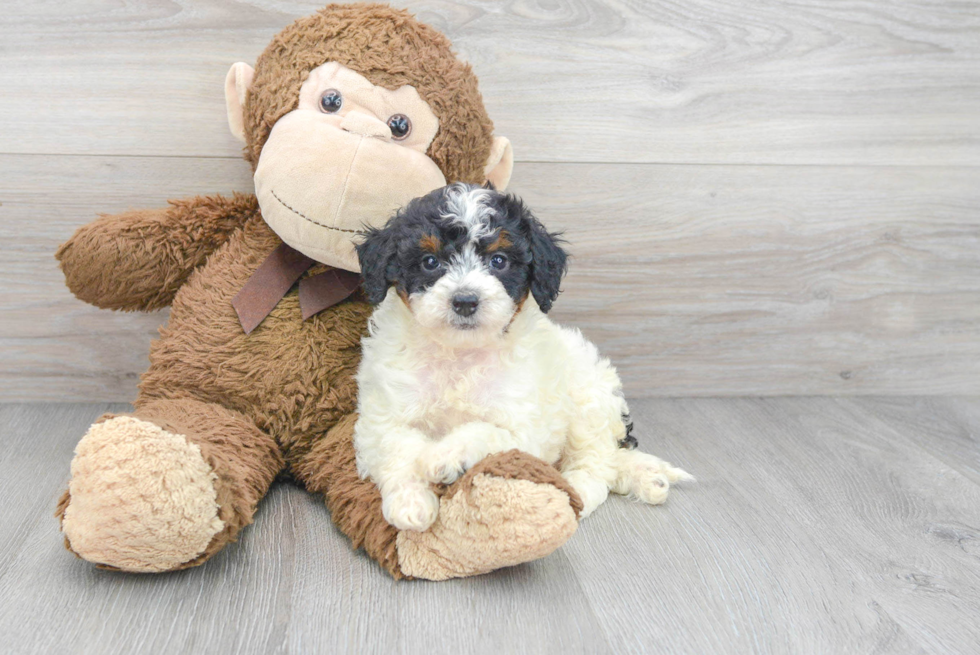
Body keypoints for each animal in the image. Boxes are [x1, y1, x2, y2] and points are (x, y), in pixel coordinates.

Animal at [352, 182, 688, 532]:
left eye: (498, 260)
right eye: (430, 262)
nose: (465, 301)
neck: (460, 352)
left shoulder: (523, 428)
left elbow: (483, 431)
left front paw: (444, 456)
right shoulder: (384, 415)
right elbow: (398, 448)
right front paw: (411, 503)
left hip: (591, 402)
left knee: (597, 466)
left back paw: (576, 490)